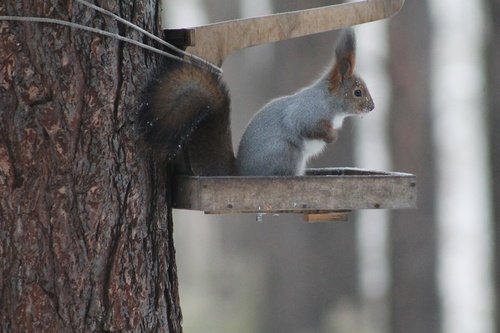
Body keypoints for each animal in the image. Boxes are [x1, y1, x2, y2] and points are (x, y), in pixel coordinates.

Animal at [139, 27, 374, 176]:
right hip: (286, 153)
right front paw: (332, 136)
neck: (331, 102)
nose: (372, 107)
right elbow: (306, 126)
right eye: (357, 92)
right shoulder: (309, 112)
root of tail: (240, 173)